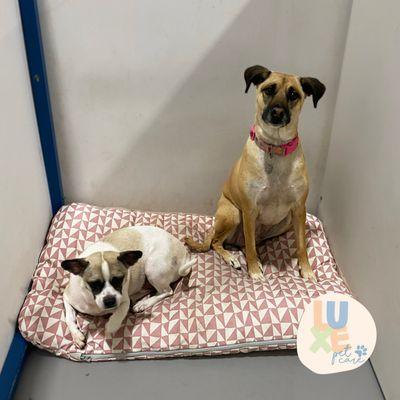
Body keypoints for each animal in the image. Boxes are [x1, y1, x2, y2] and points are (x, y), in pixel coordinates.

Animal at [61, 227, 195, 348]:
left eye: (119, 280)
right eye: (94, 284)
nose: (110, 300)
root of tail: (185, 255)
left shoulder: (124, 301)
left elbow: (120, 312)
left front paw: (111, 326)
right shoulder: (67, 297)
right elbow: (68, 317)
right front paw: (77, 336)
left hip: (153, 267)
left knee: (166, 291)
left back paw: (143, 303)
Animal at [186, 65, 326, 282]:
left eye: (293, 94)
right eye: (268, 89)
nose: (277, 112)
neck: (275, 148)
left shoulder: (298, 209)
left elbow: (301, 245)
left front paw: (307, 270)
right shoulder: (249, 209)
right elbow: (250, 246)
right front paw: (253, 271)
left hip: (285, 222)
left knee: (246, 243)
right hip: (233, 214)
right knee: (219, 242)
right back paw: (233, 258)